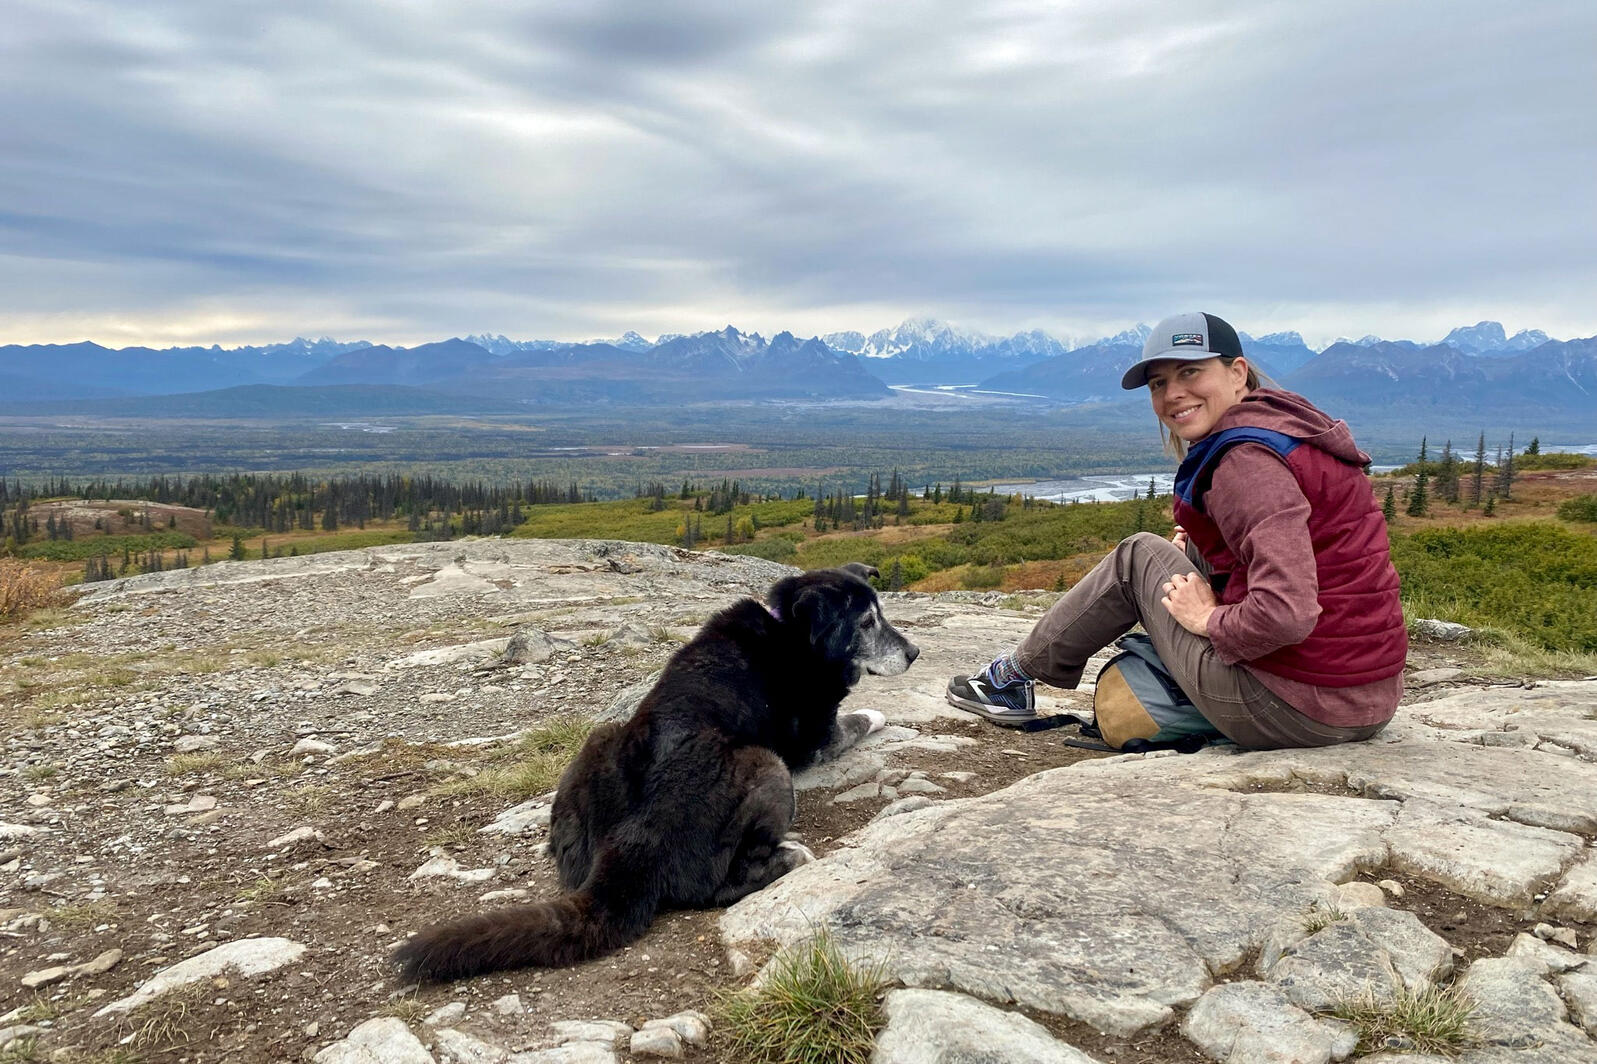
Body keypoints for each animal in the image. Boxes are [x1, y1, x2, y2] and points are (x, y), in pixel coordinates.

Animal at [392, 562, 919, 977]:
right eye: (868, 622)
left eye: (883, 614)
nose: (914, 654)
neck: (792, 630)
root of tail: (631, 843)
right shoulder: (818, 740)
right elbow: (859, 719)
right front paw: (879, 715)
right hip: (767, 767)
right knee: (722, 884)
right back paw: (790, 857)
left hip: (600, 739)